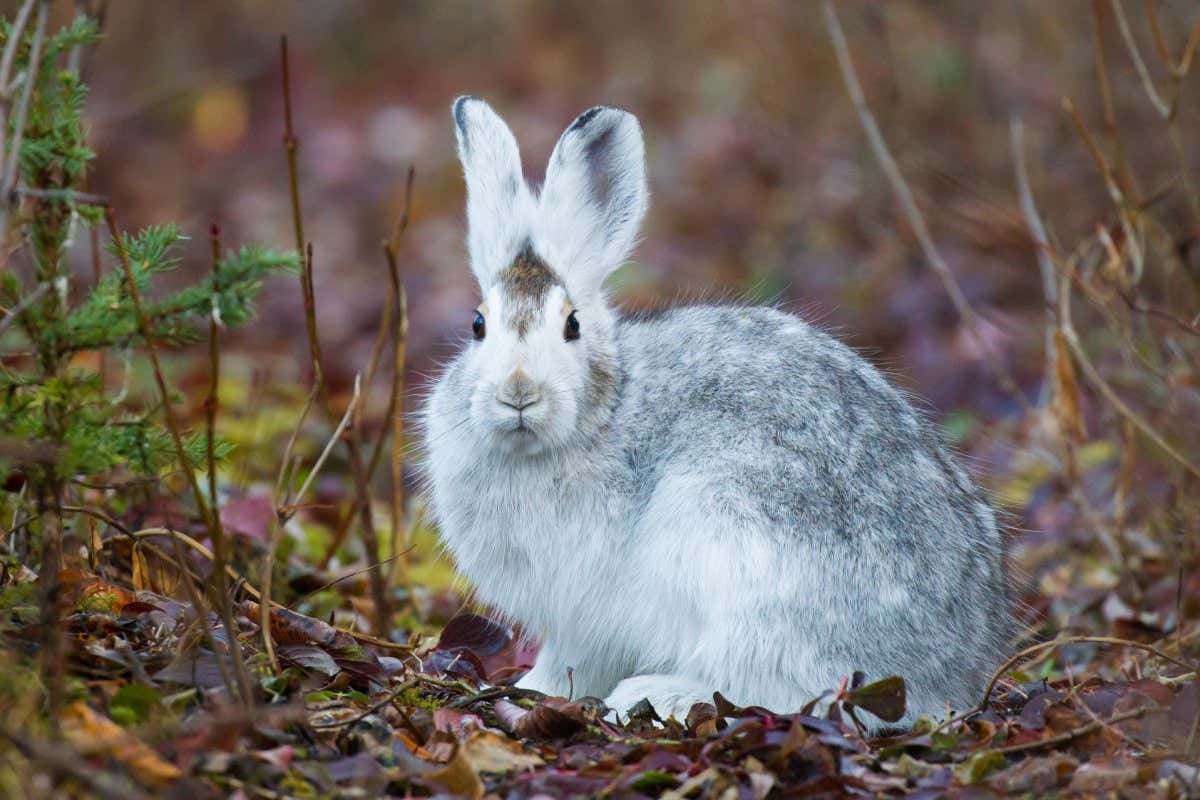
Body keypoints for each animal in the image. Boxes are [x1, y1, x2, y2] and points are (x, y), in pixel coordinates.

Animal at [421, 96, 1011, 730]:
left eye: (572, 326)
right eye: (478, 325)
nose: (519, 392)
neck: (602, 412)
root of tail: (951, 671)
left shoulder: (582, 608)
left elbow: (570, 658)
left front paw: (528, 686)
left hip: (731, 550)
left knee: (786, 688)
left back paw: (660, 695)